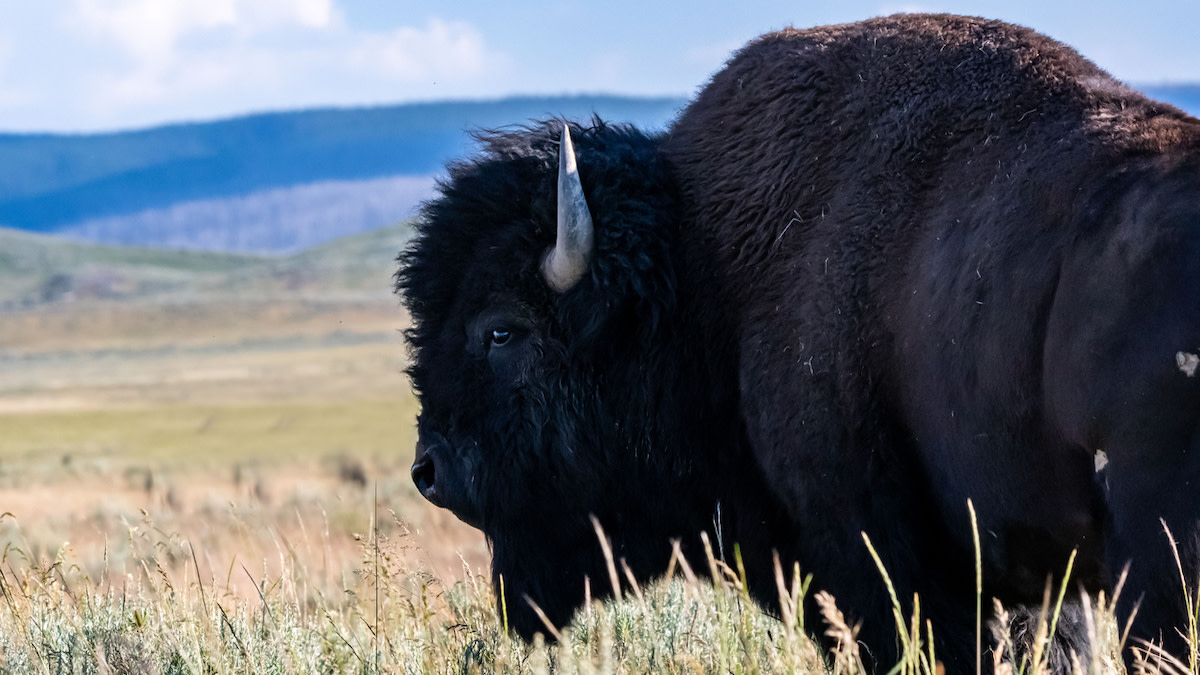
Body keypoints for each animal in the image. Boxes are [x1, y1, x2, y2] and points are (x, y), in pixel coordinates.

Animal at [396, 13, 1200, 671]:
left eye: (502, 329)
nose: (430, 470)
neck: (703, 268)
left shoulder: (881, 555)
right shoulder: (1028, 571)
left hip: (1155, 569)